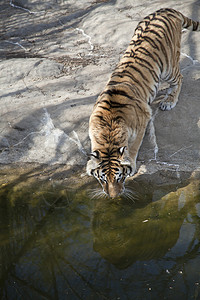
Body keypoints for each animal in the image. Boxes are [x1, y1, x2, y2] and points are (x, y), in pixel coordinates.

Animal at [86, 7, 199, 198]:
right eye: (103, 179)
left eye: (119, 177)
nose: (113, 196)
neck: (108, 132)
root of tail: (166, 10)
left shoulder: (142, 121)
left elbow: (133, 147)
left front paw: (131, 163)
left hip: (168, 68)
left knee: (179, 77)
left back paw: (169, 101)